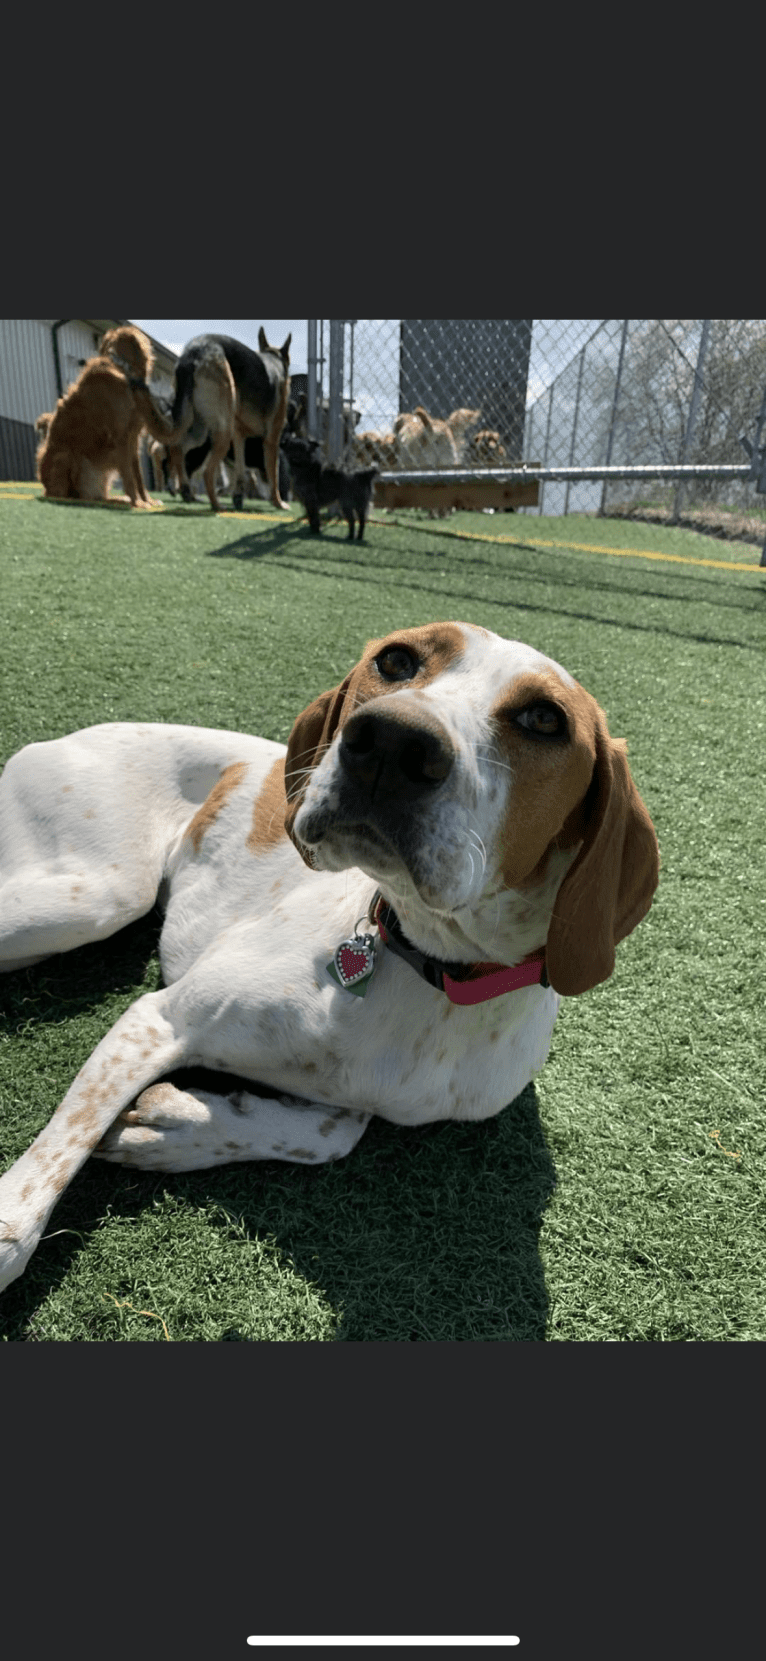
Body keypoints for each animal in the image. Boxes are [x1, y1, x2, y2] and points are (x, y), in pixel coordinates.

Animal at [0, 627, 657, 1288]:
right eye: (396, 659)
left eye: (544, 719)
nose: (392, 740)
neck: (429, 968)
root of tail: (63, 739)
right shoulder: (155, 1020)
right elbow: (52, 1164)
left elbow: (334, 1132)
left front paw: (171, 1125)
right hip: (95, 895)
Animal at [37, 323, 168, 504]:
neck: (121, 367)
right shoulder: (120, 436)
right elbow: (129, 475)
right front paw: (138, 503)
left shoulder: (133, 437)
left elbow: (138, 475)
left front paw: (146, 501)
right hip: (64, 456)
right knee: (66, 494)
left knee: (96, 495)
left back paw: (116, 499)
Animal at [155, 330, 289, 511]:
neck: (274, 360)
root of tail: (194, 353)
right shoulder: (271, 440)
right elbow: (273, 474)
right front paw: (278, 502)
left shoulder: (239, 436)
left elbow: (241, 472)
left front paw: (238, 496)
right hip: (223, 431)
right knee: (206, 472)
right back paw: (216, 505)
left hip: (200, 432)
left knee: (177, 449)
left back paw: (187, 491)